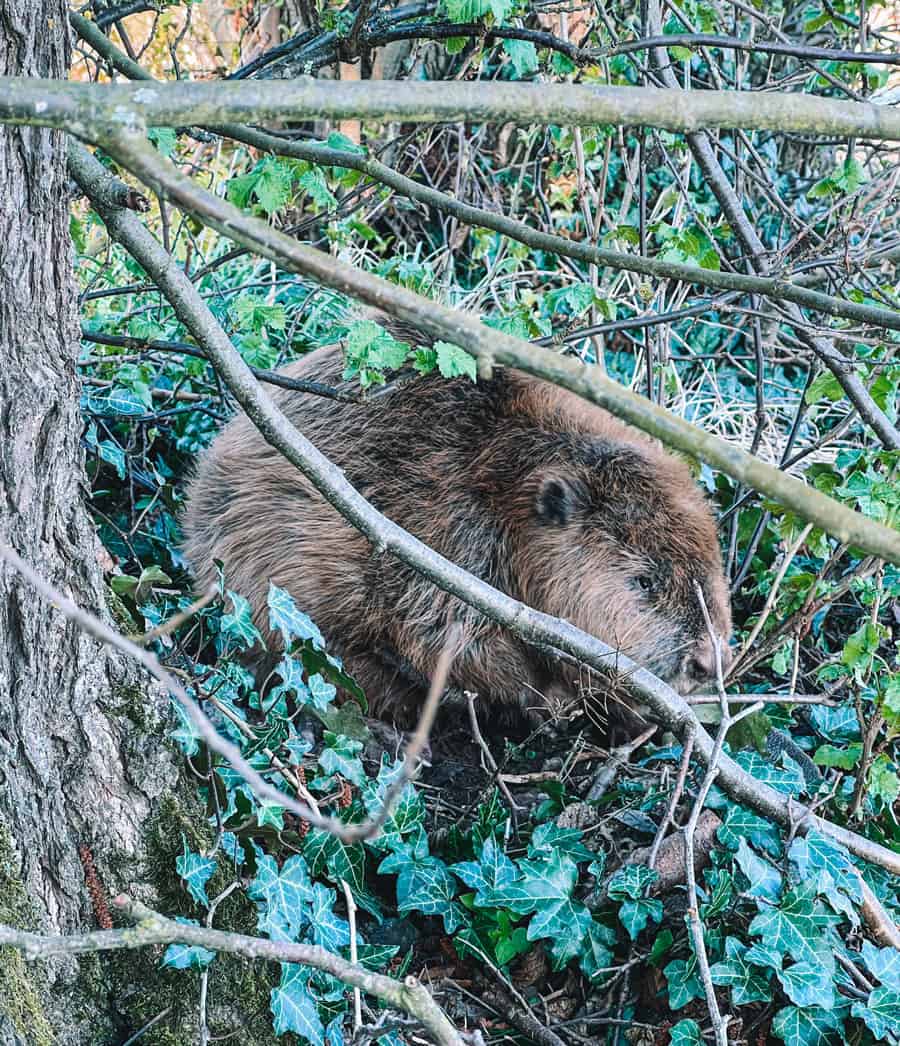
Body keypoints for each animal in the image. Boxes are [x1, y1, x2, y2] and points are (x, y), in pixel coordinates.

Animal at [181, 317, 732, 728]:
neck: (506, 481)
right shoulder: (449, 542)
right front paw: (553, 700)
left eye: (712, 567)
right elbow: (451, 641)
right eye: (644, 582)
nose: (710, 663)